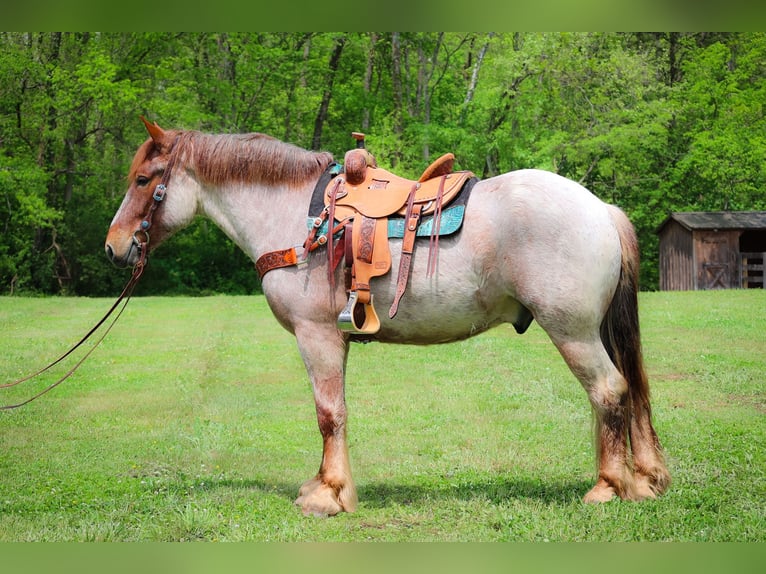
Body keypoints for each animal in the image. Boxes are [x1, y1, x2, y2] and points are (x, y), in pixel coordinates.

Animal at [106, 119, 672, 520]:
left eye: (143, 179)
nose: (114, 247)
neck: (298, 217)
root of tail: (601, 209)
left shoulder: (316, 335)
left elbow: (329, 414)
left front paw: (330, 496)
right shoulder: (335, 338)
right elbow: (334, 413)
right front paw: (323, 485)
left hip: (573, 333)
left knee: (609, 392)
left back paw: (607, 488)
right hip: (595, 332)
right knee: (625, 393)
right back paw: (642, 480)